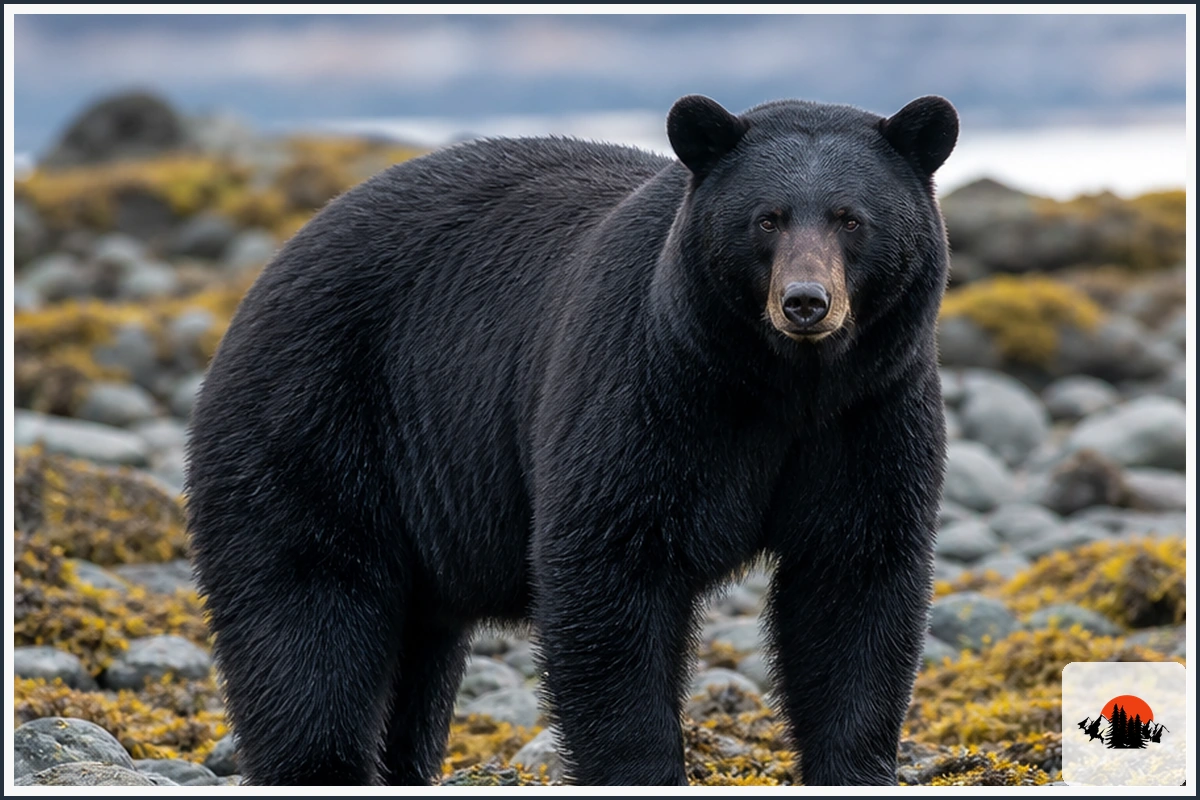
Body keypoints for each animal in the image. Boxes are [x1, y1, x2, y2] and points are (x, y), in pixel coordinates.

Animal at [186, 93, 958, 786]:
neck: (780, 386)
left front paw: (855, 766)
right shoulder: (646, 386)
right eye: (766, 219)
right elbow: (610, 566)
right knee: (308, 603)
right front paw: (643, 768)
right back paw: (323, 764)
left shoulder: (871, 410)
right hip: (315, 418)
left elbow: (854, 579)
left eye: (851, 219)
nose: (805, 301)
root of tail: (267, 273)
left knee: (418, 647)